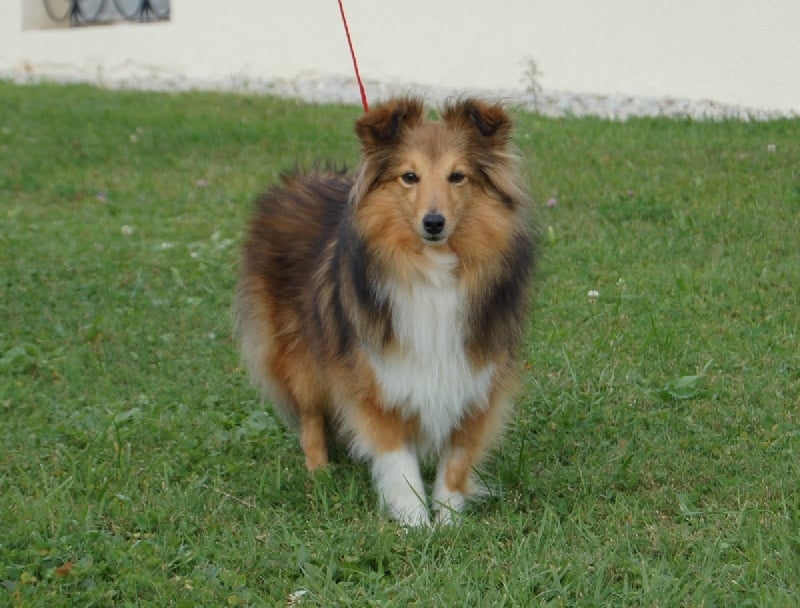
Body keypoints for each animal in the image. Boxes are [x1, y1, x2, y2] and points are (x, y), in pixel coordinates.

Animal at [238, 97, 536, 524]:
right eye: (409, 177)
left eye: (457, 176)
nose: (433, 223)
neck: (431, 270)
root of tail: (297, 180)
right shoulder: (377, 384)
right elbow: (400, 464)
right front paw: (416, 524)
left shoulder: (474, 381)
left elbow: (457, 462)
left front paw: (449, 522)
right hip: (299, 356)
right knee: (310, 417)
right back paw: (319, 474)